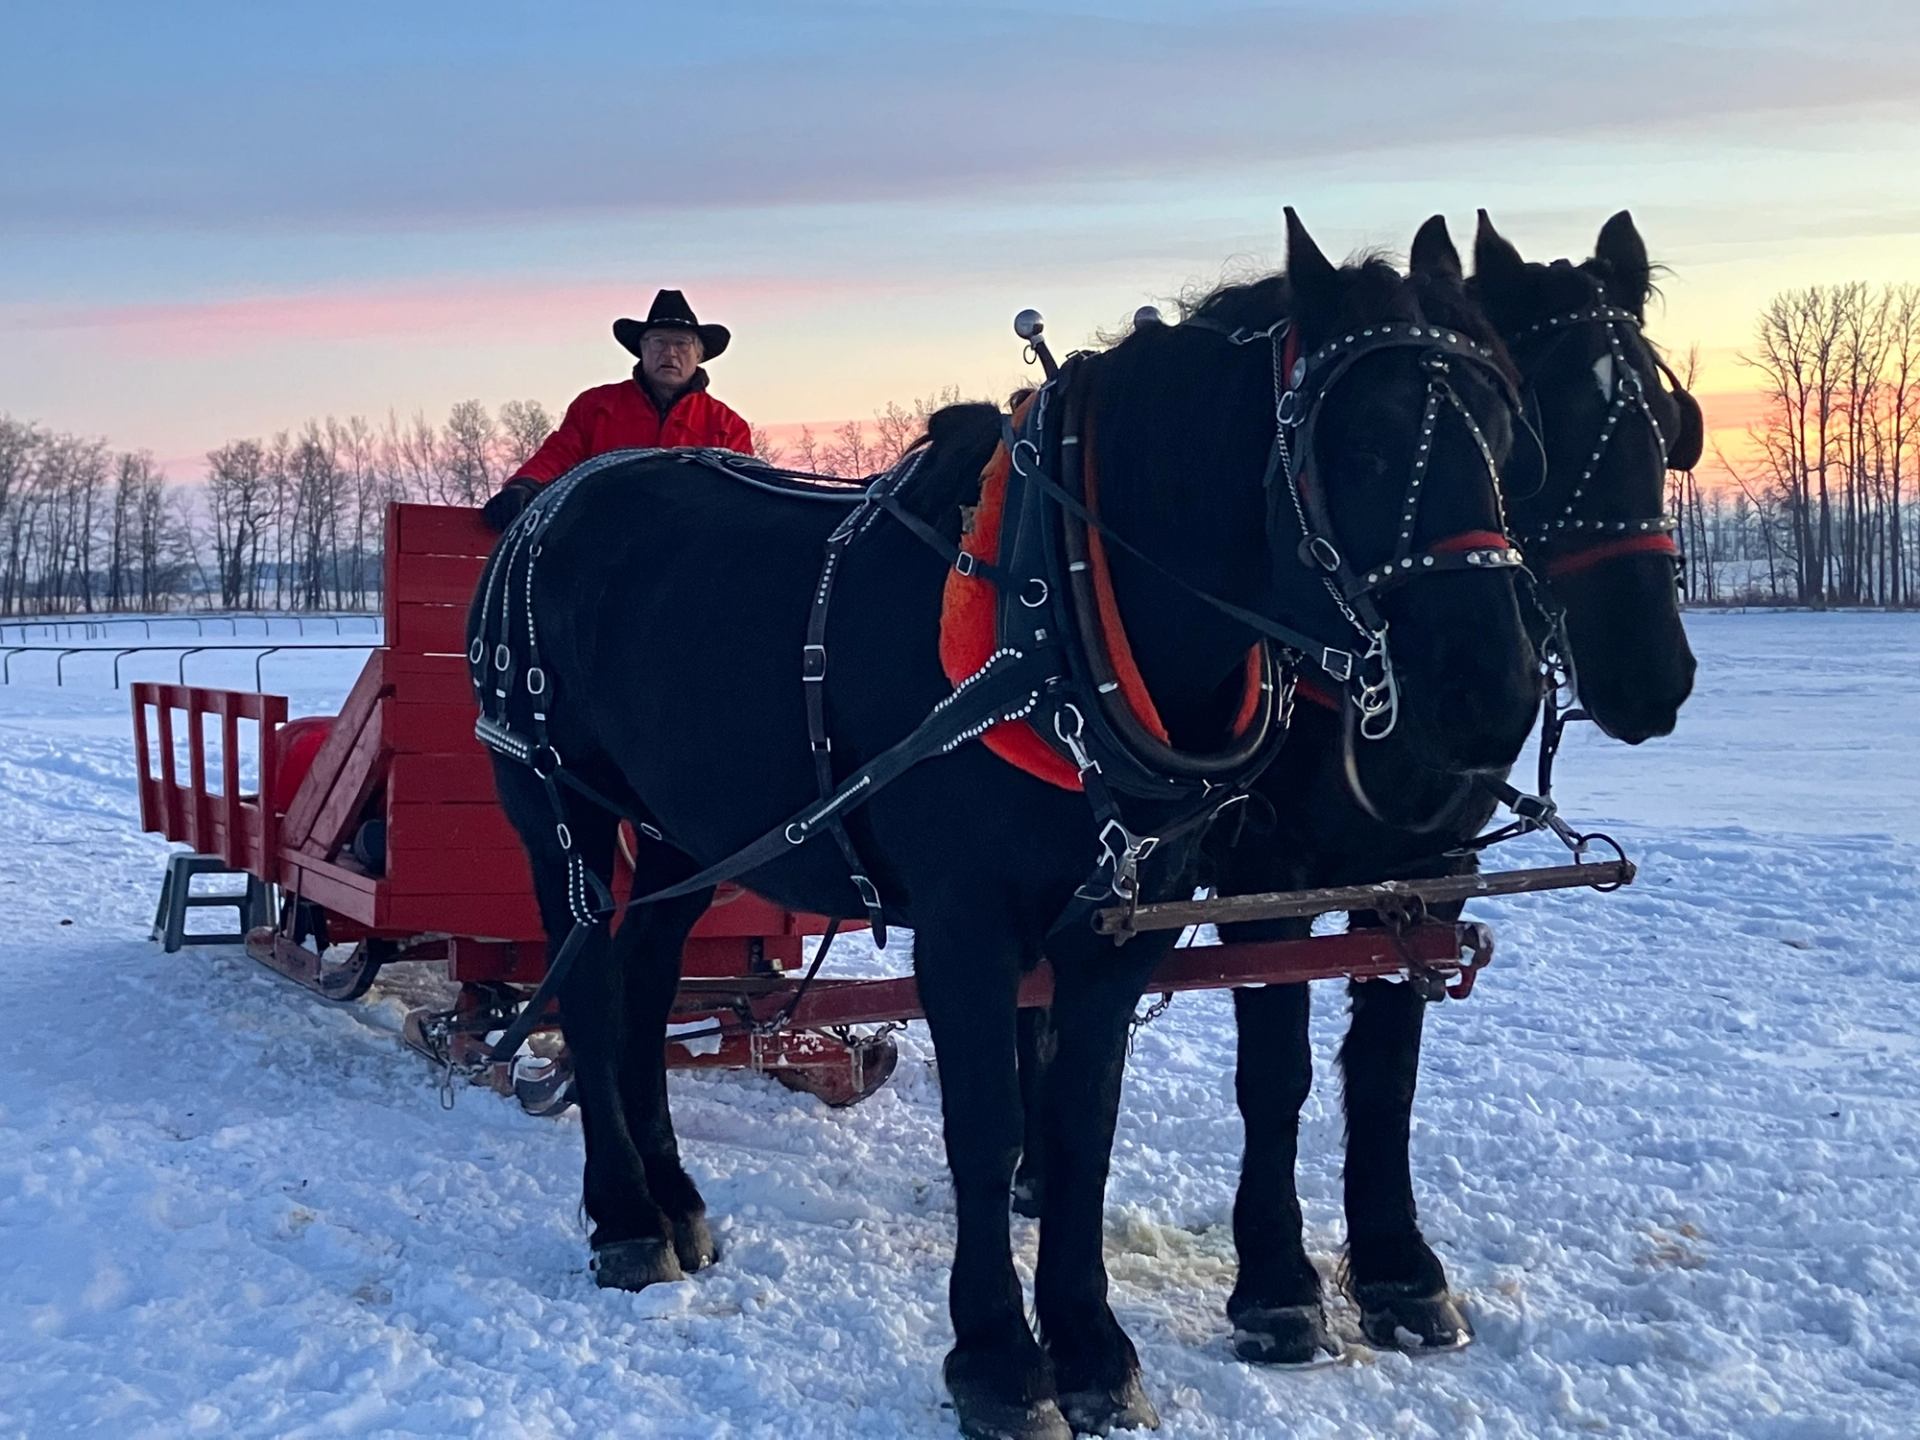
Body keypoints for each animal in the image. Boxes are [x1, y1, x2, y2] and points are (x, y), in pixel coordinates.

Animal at [468, 210, 1540, 1440]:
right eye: (1357, 441)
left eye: (1506, 432)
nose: (1496, 692)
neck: (1062, 610)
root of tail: (547, 505)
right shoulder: (967, 925)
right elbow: (986, 1133)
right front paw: (996, 1360)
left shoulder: (1121, 930)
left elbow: (1081, 1135)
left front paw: (1090, 1347)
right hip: (558, 809)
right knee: (593, 992)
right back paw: (625, 1219)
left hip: (683, 829)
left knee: (646, 982)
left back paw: (676, 1200)